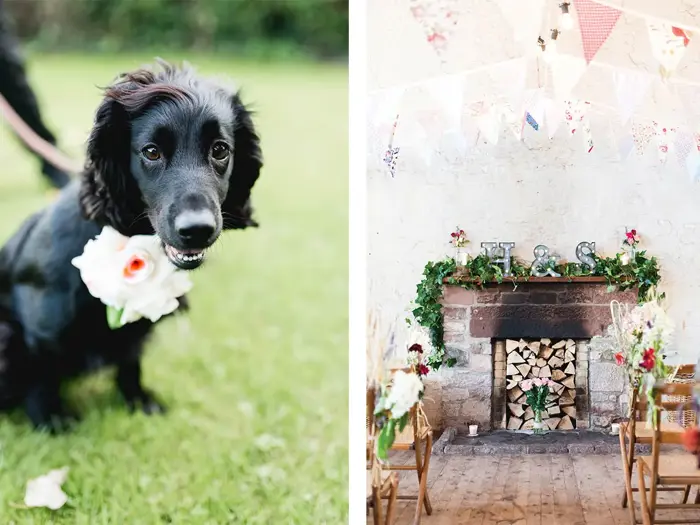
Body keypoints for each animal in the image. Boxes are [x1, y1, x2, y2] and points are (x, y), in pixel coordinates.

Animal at [0, 60, 260, 430]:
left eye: (220, 149)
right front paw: (51, 420)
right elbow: (42, 376)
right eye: (151, 151)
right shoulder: (38, 324)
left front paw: (138, 401)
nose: (197, 230)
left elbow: (130, 362)